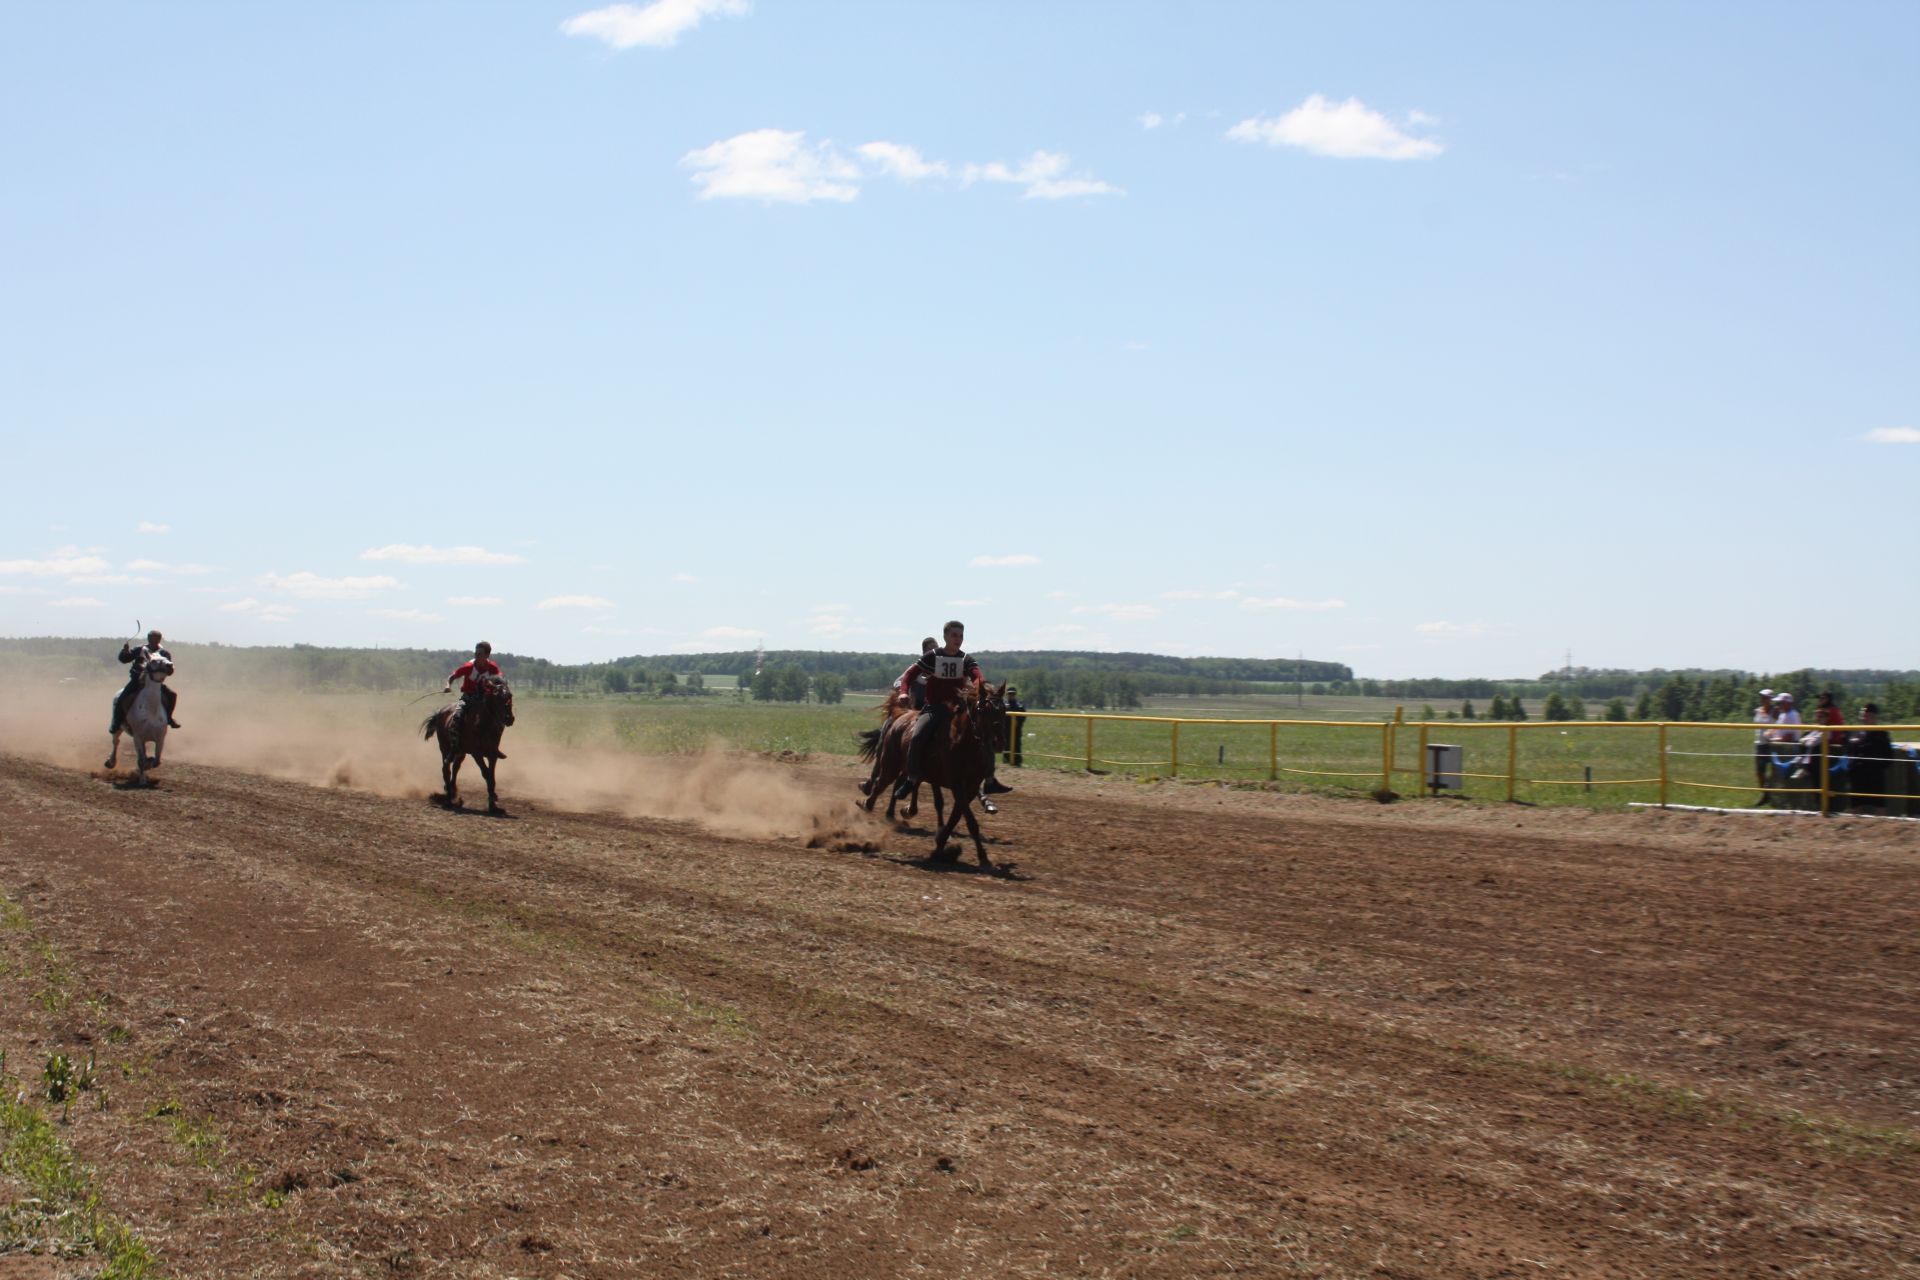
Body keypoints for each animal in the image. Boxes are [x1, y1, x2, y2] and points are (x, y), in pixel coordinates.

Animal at [106, 656, 173, 786]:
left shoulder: (160, 738)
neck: (151, 709)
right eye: (153, 661)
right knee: (116, 742)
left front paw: (148, 765)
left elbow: (156, 761)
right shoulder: (138, 737)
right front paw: (142, 781)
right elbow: (141, 760)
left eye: (166, 657)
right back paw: (110, 762)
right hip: (118, 728)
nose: (170, 666)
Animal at [426, 675, 518, 817]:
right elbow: (486, 774)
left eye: (510, 695)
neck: (483, 724)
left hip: (461, 752)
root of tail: (440, 712)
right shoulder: (477, 754)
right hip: (445, 748)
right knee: (446, 769)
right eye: (496, 696)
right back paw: (448, 800)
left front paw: (494, 806)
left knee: (456, 768)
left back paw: (453, 792)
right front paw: (493, 799)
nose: (509, 718)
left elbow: (491, 777)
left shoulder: (492, 754)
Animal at [856, 679, 1006, 871]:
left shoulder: (969, 788)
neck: (963, 742)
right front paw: (983, 858)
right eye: (982, 710)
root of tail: (901, 714)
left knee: (899, 785)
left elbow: (955, 817)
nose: (998, 742)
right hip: (890, 766)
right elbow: (970, 821)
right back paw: (869, 810)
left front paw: (941, 845)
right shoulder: (956, 784)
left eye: (1003, 709)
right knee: (878, 787)